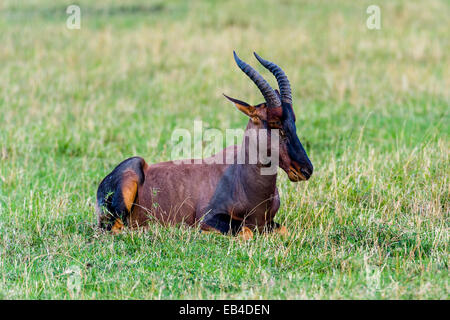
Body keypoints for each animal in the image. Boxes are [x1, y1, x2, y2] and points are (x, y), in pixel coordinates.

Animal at [95, 52, 312, 240]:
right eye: (275, 123)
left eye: (293, 121)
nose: (306, 170)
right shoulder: (209, 218)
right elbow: (246, 232)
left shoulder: (268, 223)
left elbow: (282, 230)